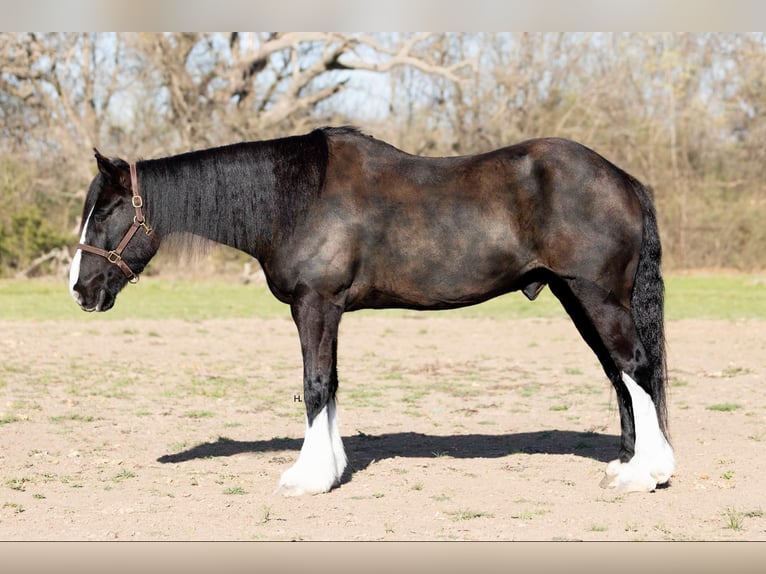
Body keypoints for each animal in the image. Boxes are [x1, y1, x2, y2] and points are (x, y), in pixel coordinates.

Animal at [69, 126, 675, 495]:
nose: (79, 290)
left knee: (635, 367)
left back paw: (647, 473)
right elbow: (331, 383)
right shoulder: (326, 310)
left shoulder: (315, 305)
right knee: (619, 374)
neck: (295, 201)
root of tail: (626, 181)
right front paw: (332, 468)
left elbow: (315, 384)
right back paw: (629, 463)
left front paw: (307, 477)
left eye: (107, 210)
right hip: (577, 297)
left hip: (596, 296)